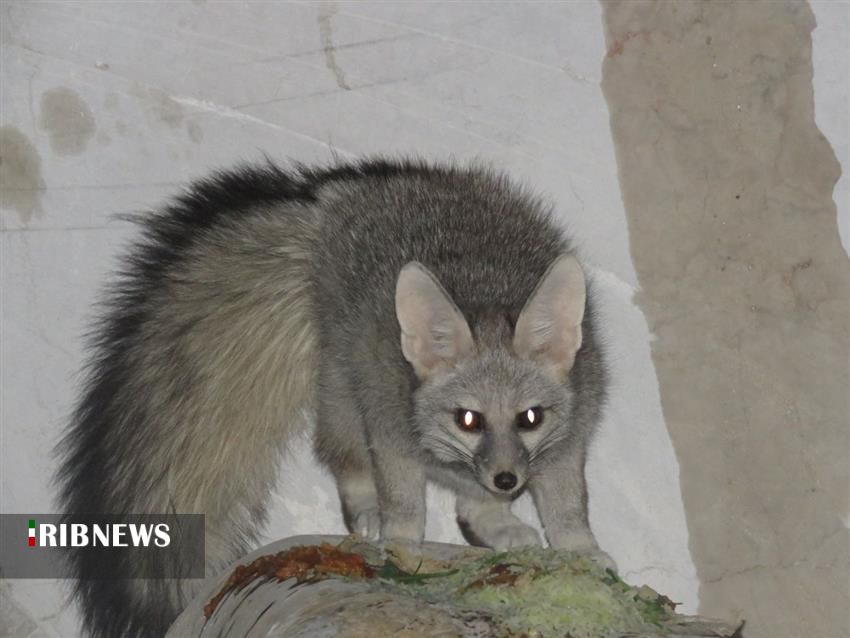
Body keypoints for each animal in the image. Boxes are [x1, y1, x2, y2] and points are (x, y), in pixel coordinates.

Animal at [59, 158, 612, 636]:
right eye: (468, 420)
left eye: (530, 418)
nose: (507, 480)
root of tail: (338, 193)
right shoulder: (390, 433)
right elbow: (405, 506)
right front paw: (402, 547)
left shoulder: (567, 444)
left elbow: (569, 507)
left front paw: (582, 552)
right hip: (345, 394)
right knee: (340, 454)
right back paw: (371, 510)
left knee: (469, 510)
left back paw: (496, 522)